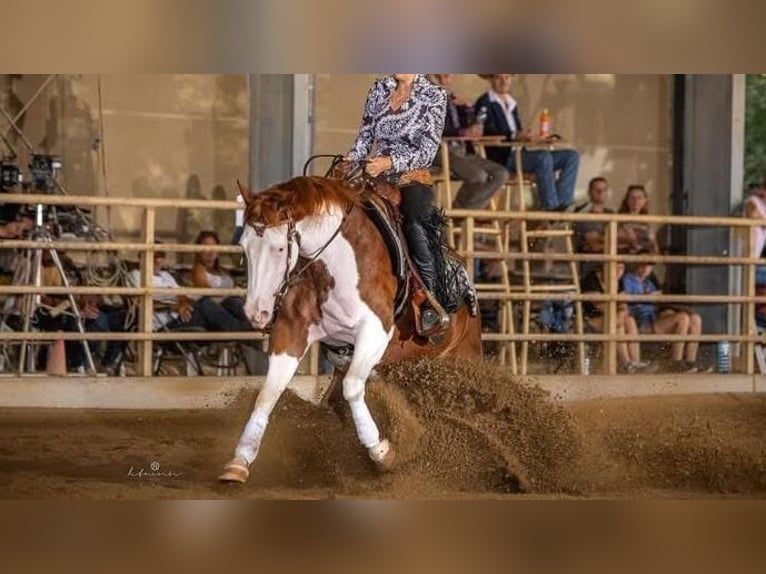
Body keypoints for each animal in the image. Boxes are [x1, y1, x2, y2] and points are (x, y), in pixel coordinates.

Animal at [218, 176, 482, 483]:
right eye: (244, 247)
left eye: (279, 248)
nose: (255, 312)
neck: (332, 263)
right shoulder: (291, 332)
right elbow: (268, 393)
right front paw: (239, 461)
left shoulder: (375, 331)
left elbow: (353, 387)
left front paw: (381, 452)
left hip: (463, 359)